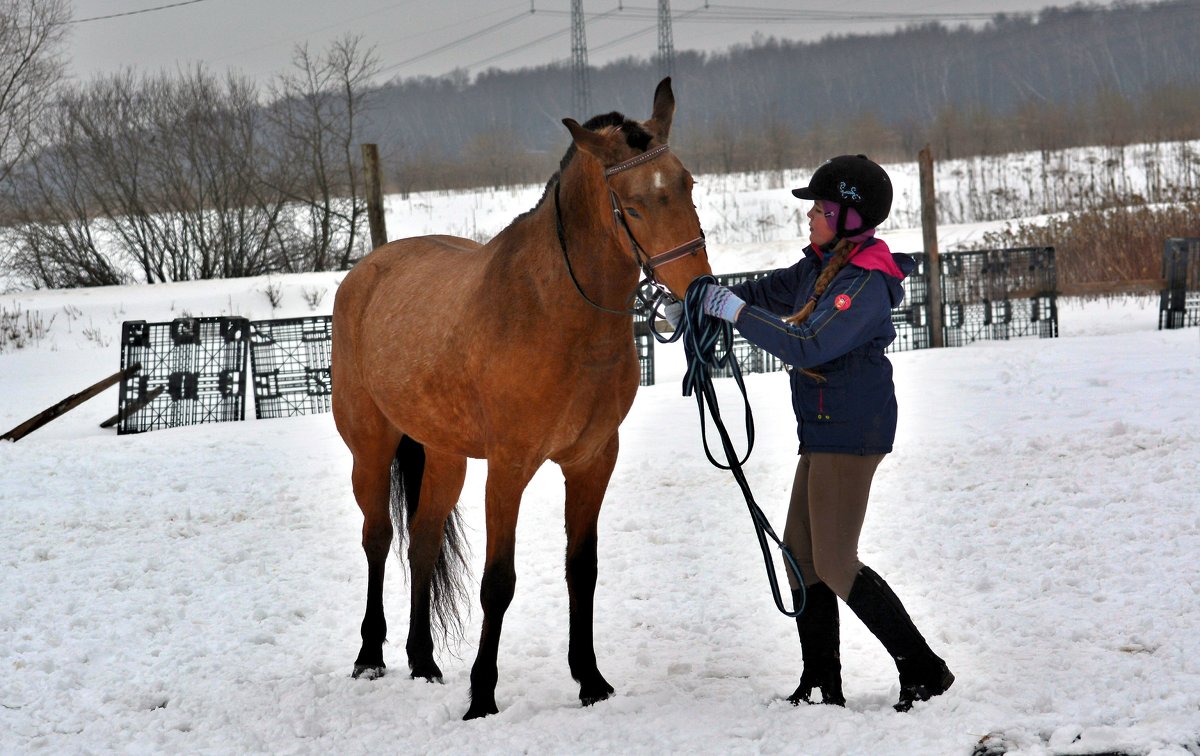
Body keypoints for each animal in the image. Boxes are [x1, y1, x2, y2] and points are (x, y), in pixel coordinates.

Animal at [328, 78, 710, 724]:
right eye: (631, 204)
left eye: (686, 184)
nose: (698, 285)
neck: (554, 313)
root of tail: (366, 272)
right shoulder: (508, 468)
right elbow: (497, 582)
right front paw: (482, 696)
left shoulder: (591, 462)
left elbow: (582, 571)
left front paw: (590, 681)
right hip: (371, 448)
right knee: (378, 538)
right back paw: (370, 657)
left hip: (445, 455)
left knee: (423, 542)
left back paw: (423, 662)